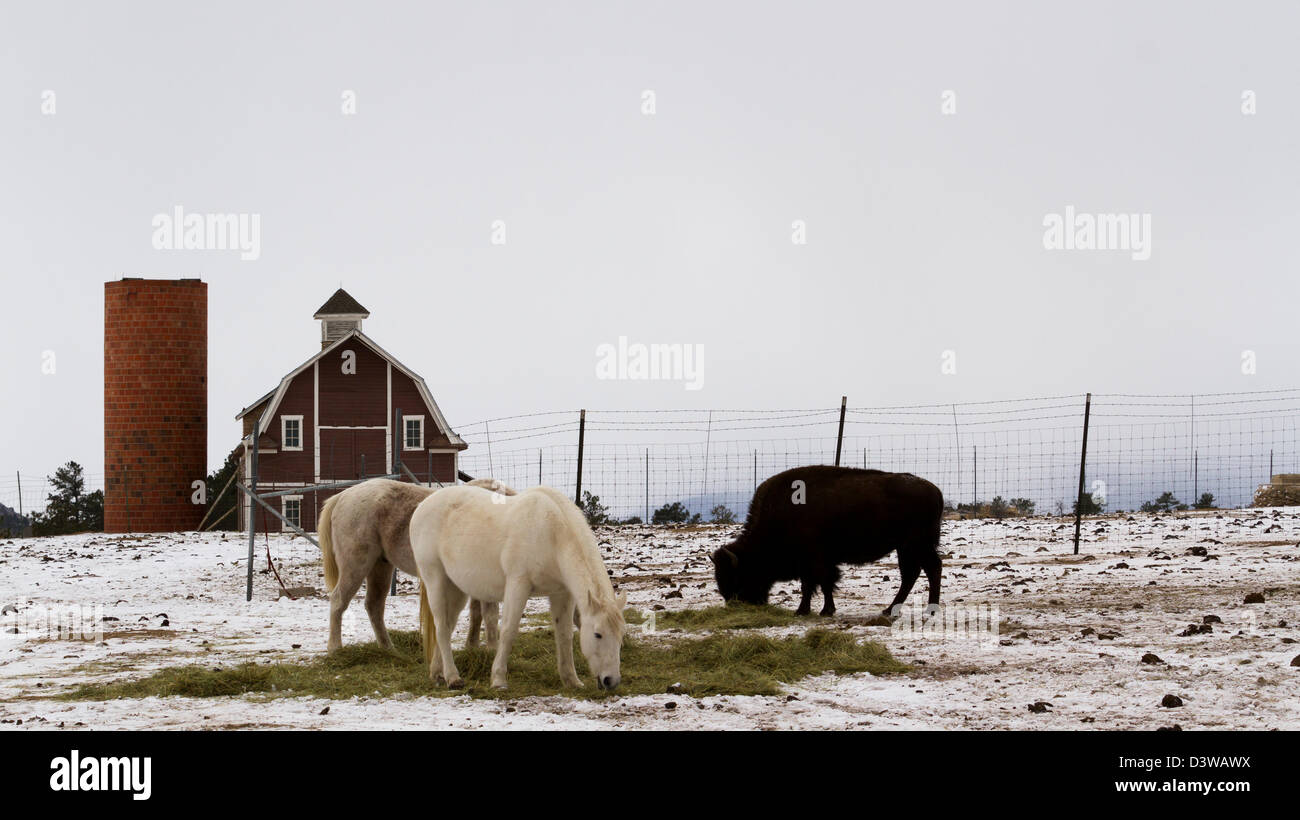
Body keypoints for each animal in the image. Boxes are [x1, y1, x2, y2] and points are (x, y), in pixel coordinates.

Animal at [408, 483, 626, 691]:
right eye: (598, 634)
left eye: (620, 635)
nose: (611, 681)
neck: (553, 533)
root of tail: (421, 506)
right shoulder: (518, 584)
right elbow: (508, 631)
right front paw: (498, 680)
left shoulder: (562, 594)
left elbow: (564, 635)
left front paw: (571, 680)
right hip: (435, 579)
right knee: (442, 628)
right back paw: (453, 678)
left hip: (456, 589)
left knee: (447, 625)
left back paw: (438, 674)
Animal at [712, 467, 946, 615]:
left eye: (737, 576)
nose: (736, 604)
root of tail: (936, 491)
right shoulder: (818, 562)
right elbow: (819, 584)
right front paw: (817, 610)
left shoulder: (814, 560)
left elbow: (817, 584)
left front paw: (811, 611)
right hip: (905, 548)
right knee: (912, 574)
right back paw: (890, 610)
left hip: (916, 545)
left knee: (931, 568)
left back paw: (929, 610)